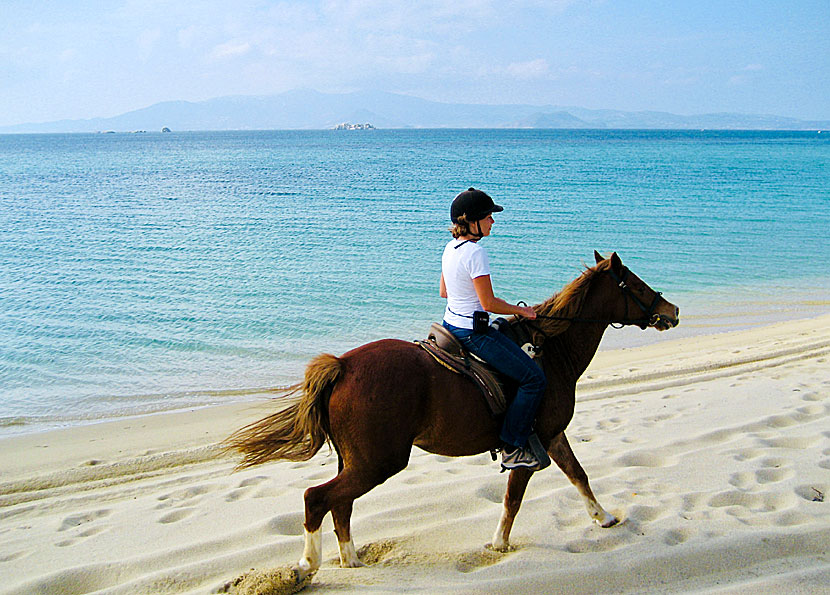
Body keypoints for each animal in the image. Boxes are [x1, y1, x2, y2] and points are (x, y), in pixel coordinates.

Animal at [226, 251, 676, 584]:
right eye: (636, 285)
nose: (672, 311)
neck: (550, 352)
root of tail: (343, 365)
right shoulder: (533, 442)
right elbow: (514, 497)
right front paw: (498, 543)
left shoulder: (551, 435)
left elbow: (578, 475)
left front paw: (604, 517)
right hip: (378, 462)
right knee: (317, 499)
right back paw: (307, 565)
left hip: (357, 461)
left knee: (341, 504)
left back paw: (351, 560)